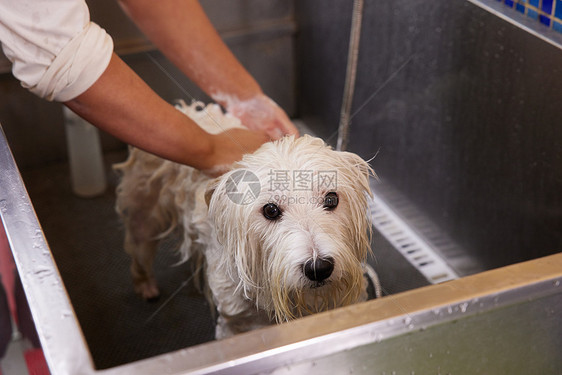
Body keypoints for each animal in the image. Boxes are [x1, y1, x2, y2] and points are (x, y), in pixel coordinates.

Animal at [114, 101, 376, 340]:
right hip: (144, 212)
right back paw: (145, 283)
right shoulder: (234, 324)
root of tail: (183, 109)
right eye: (270, 210)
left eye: (331, 199)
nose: (318, 268)